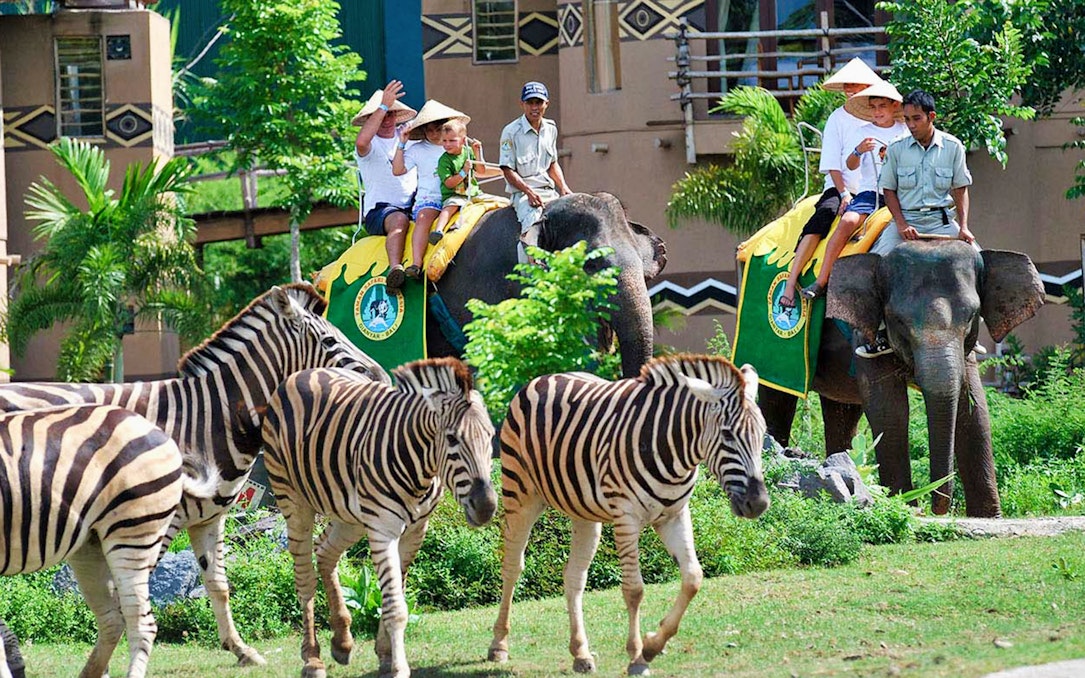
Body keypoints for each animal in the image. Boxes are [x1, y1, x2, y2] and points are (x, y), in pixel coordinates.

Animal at [262, 358, 499, 678]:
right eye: (452, 438)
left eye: (490, 436)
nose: (486, 507)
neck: (419, 468)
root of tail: (305, 372)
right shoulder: (383, 529)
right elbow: (396, 606)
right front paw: (398, 667)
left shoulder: (415, 531)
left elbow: (396, 596)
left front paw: (385, 654)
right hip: (294, 501)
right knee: (304, 578)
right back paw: (312, 658)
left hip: (350, 516)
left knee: (324, 552)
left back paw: (342, 642)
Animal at [488, 355, 770, 675]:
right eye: (727, 435)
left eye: (762, 434)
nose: (758, 503)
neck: (674, 450)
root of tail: (547, 376)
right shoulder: (627, 518)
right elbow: (634, 590)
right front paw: (637, 656)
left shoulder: (674, 515)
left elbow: (693, 578)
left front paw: (652, 645)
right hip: (520, 494)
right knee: (512, 566)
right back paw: (499, 646)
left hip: (584, 513)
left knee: (574, 575)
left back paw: (581, 653)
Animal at [758, 240, 1044, 517]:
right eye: (898, 320)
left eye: (972, 316)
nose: (937, 509)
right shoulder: (865, 331)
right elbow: (890, 410)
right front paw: (904, 506)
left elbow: (974, 410)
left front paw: (988, 516)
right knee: (777, 400)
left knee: (842, 411)